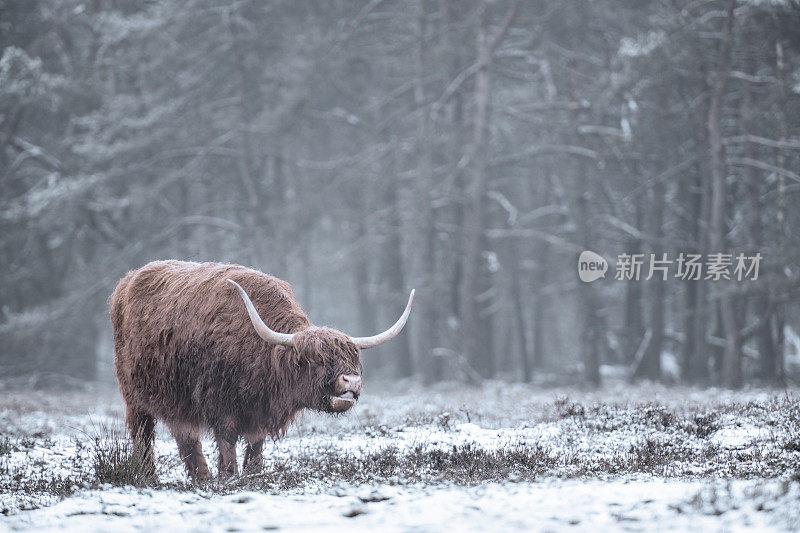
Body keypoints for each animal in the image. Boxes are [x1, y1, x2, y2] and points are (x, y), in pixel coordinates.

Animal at [111, 260, 412, 480]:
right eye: (315, 359)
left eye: (353, 358)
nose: (350, 380)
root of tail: (128, 280)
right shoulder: (221, 406)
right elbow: (227, 444)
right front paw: (229, 477)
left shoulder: (260, 413)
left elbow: (255, 448)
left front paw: (251, 476)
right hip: (134, 398)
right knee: (144, 435)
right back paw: (150, 477)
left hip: (177, 400)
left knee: (186, 437)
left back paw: (202, 477)